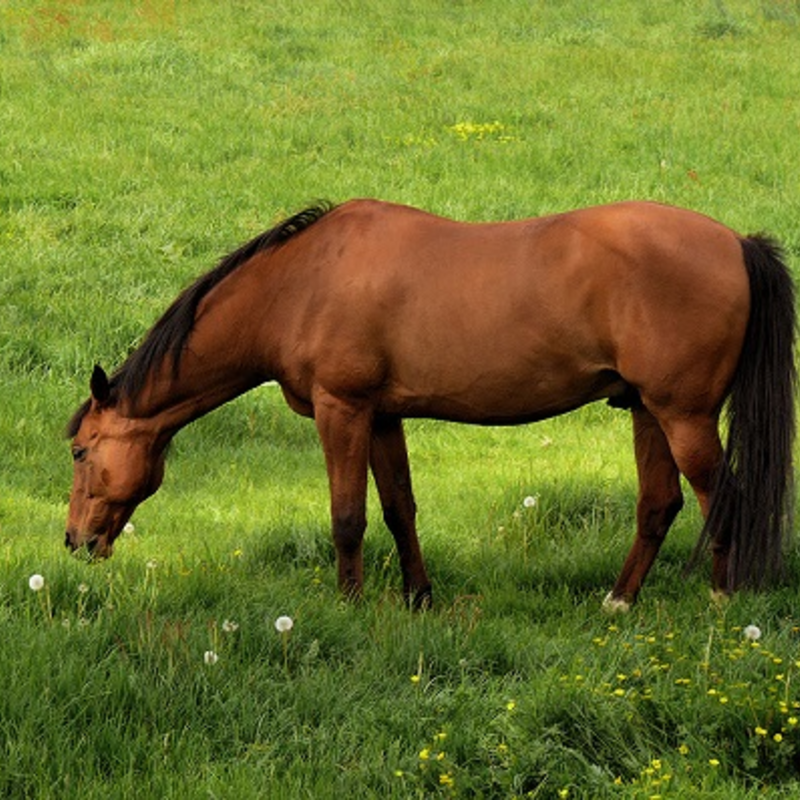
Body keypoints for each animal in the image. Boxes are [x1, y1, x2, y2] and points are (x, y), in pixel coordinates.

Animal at [65, 198, 796, 608]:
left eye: (79, 451)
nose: (75, 541)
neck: (303, 282)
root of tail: (736, 243)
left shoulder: (342, 410)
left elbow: (348, 517)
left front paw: (351, 605)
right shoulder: (383, 415)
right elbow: (398, 509)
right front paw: (417, 596)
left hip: (683, 415)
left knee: (721, 498)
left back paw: (723, 601)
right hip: (647, 410)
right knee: (659, 505)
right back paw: (618, 602)